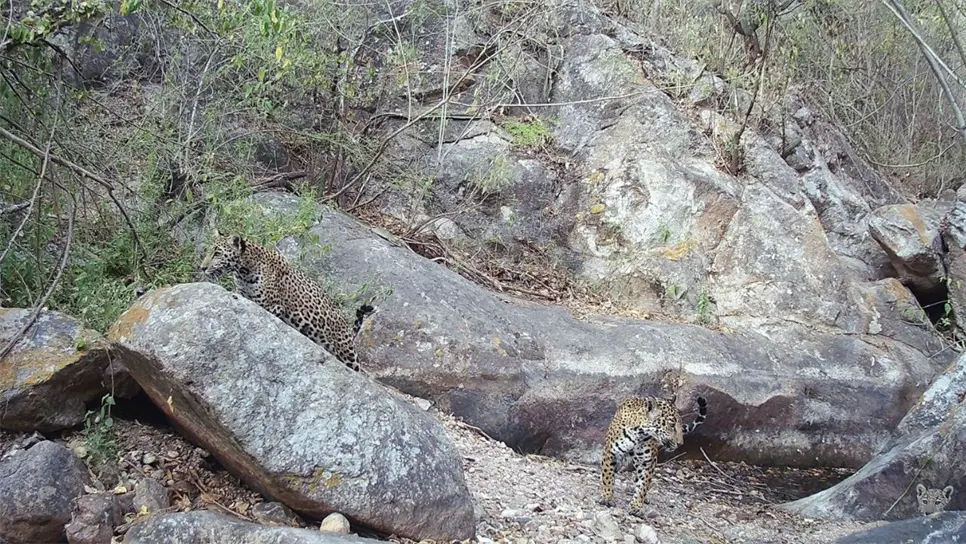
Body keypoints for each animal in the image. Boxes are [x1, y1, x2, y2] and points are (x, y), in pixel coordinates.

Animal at [200, 231, 375, 371]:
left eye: (217, 253)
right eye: (209, 251)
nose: (202, 268)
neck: (244, 271)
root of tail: (347, 327)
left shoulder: (272, 306)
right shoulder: (242, 294)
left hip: (347, 353)